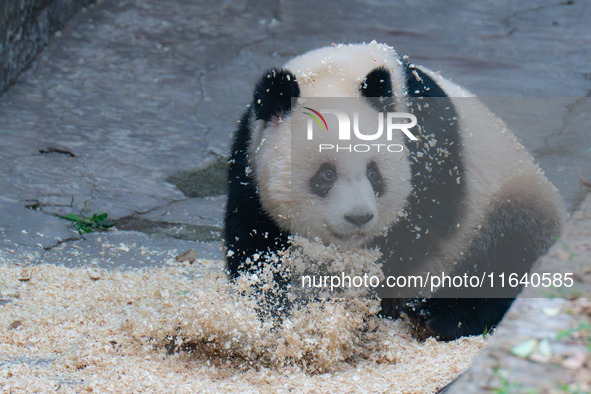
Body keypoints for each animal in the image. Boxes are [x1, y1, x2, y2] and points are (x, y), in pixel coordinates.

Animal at [224, 41, 568, 340]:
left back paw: (437, 316)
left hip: (515, 196)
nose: (359, 217)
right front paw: (269, 305)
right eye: (325, 175)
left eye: (374, 173)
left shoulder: (429, 138)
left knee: (506, 255)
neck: (335, 72)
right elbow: (254, 238)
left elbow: (426, 219)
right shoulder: (248, 154)